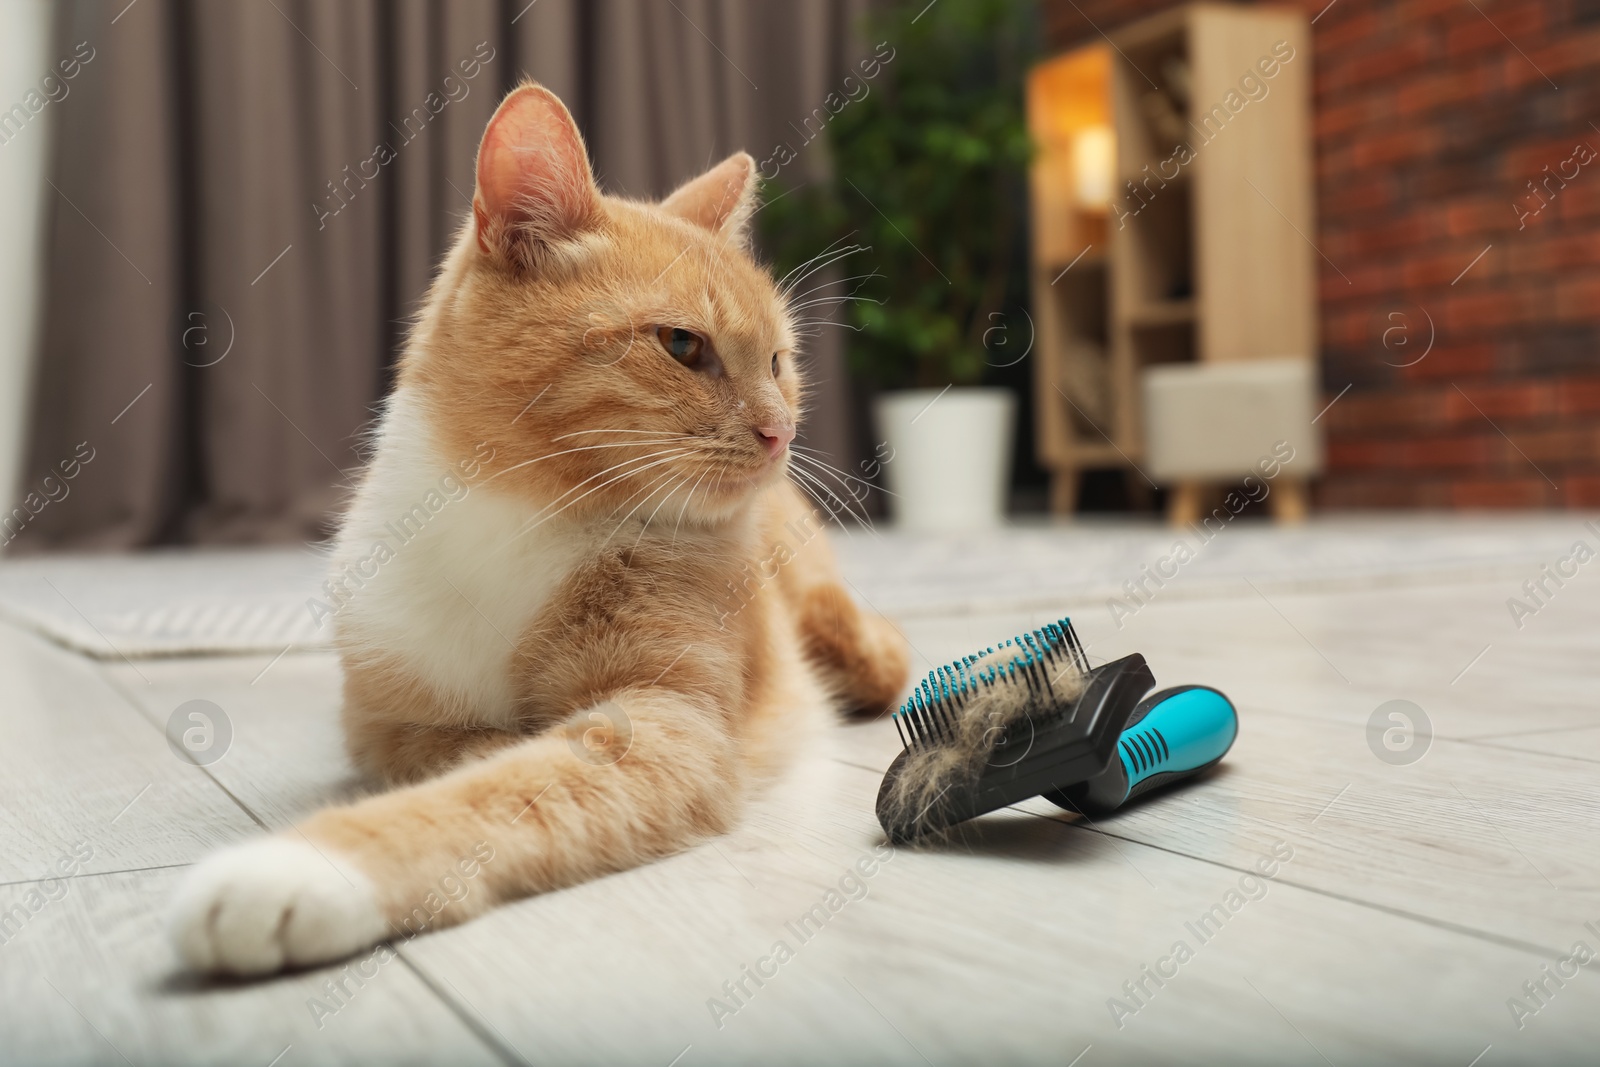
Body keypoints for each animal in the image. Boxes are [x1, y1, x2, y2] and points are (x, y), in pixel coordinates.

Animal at [172, 81, 915, 979]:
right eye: (681, 343)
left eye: (778, 361)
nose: (783, 432)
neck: (521, 514)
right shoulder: (382, 718)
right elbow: (461, 750)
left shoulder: (664, 725)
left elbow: (504, 789)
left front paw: (300, 869)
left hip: (842, 628)